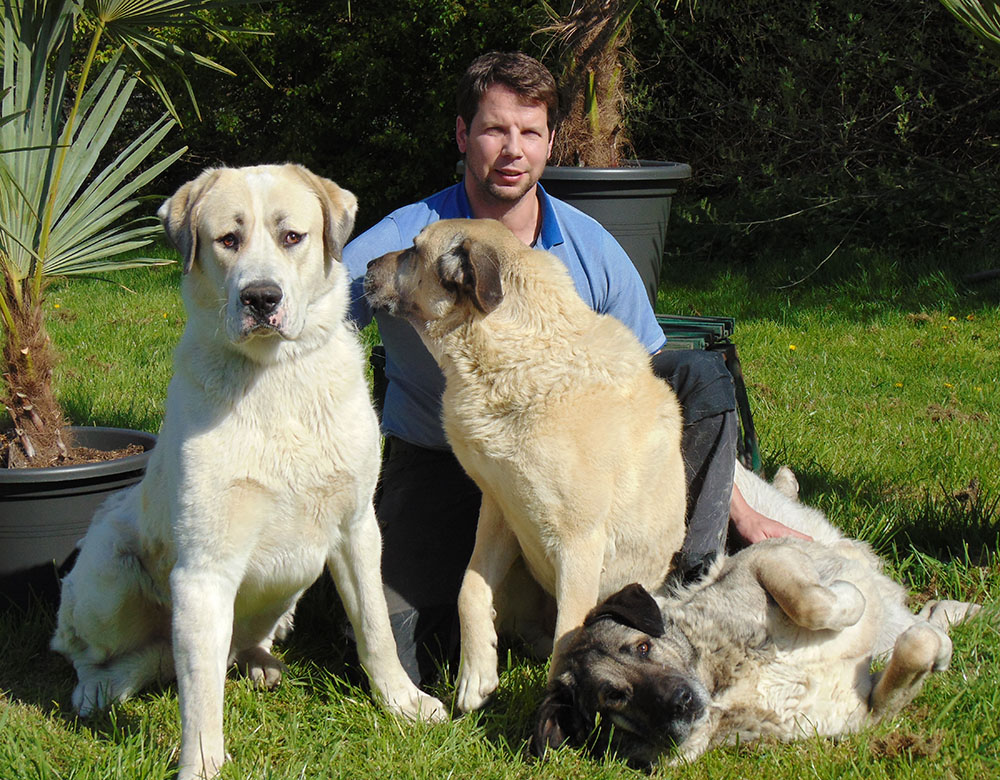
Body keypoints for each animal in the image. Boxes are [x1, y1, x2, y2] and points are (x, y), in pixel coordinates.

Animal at [54, 165, 446, 780]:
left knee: (233, 646)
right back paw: (95, 689)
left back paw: (261, 662)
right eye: (228, 240)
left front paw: (403, 702)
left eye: (292, 237)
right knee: (81, 649)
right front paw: (201, 764)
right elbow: (200, 690)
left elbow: (377, 628)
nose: (262, 297)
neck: (275, 378)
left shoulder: (357, 529)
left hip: (288, 588)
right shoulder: (204, 568)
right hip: (108, 574)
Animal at [366, 216, 688, 708]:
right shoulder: (500, 510)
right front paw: (476, 675)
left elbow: (568, 636)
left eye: (415, 252)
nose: (364, 265)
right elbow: (469, 590)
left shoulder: (579, 542)